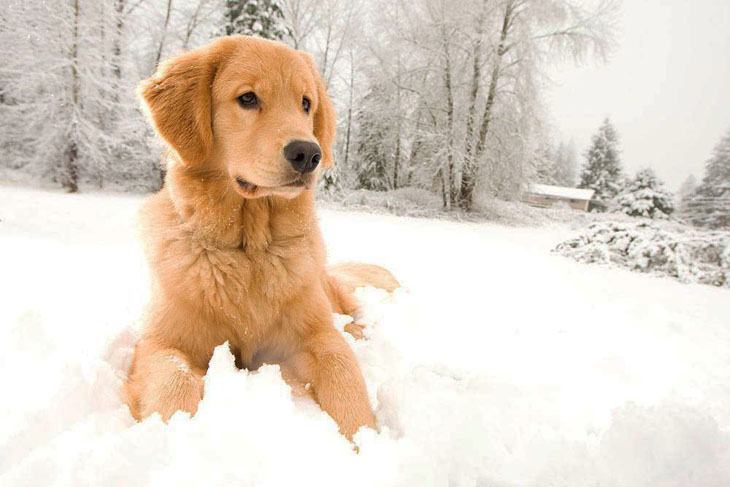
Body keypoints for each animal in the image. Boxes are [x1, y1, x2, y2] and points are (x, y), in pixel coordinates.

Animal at [125, 34, 398, 438]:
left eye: (306, 103)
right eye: (248, 98)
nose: (308, 153)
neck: (249, 248)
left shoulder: (315, 336)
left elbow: (342, 373)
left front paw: (363, 442)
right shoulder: (160, 342)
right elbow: (175, 381)